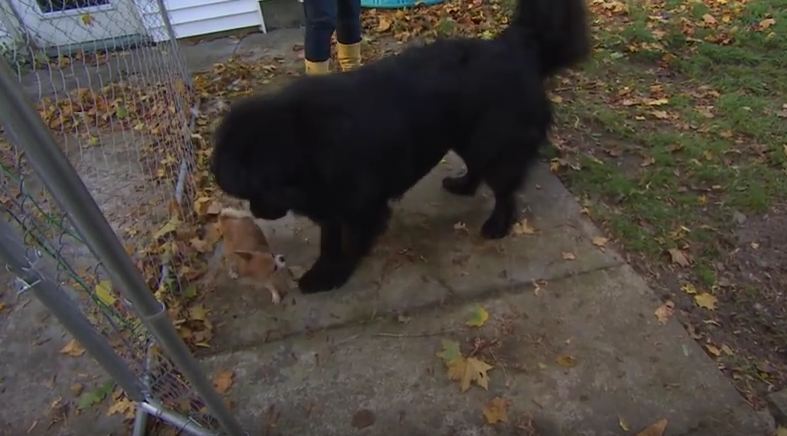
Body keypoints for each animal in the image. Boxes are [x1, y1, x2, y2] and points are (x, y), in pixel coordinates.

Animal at [212, 0, 588, 292]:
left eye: (255, 190)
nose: (256, 212)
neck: (303, 144)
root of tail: (516, 45)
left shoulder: (360, 208)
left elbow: (348, 243)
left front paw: (334, 275)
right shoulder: (330, 205)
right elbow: (329, 241)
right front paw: (321, 270)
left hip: (492, 142)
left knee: (504, 189)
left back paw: (497, 225)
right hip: (466, 136)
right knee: (479, 170)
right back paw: (463, 186)